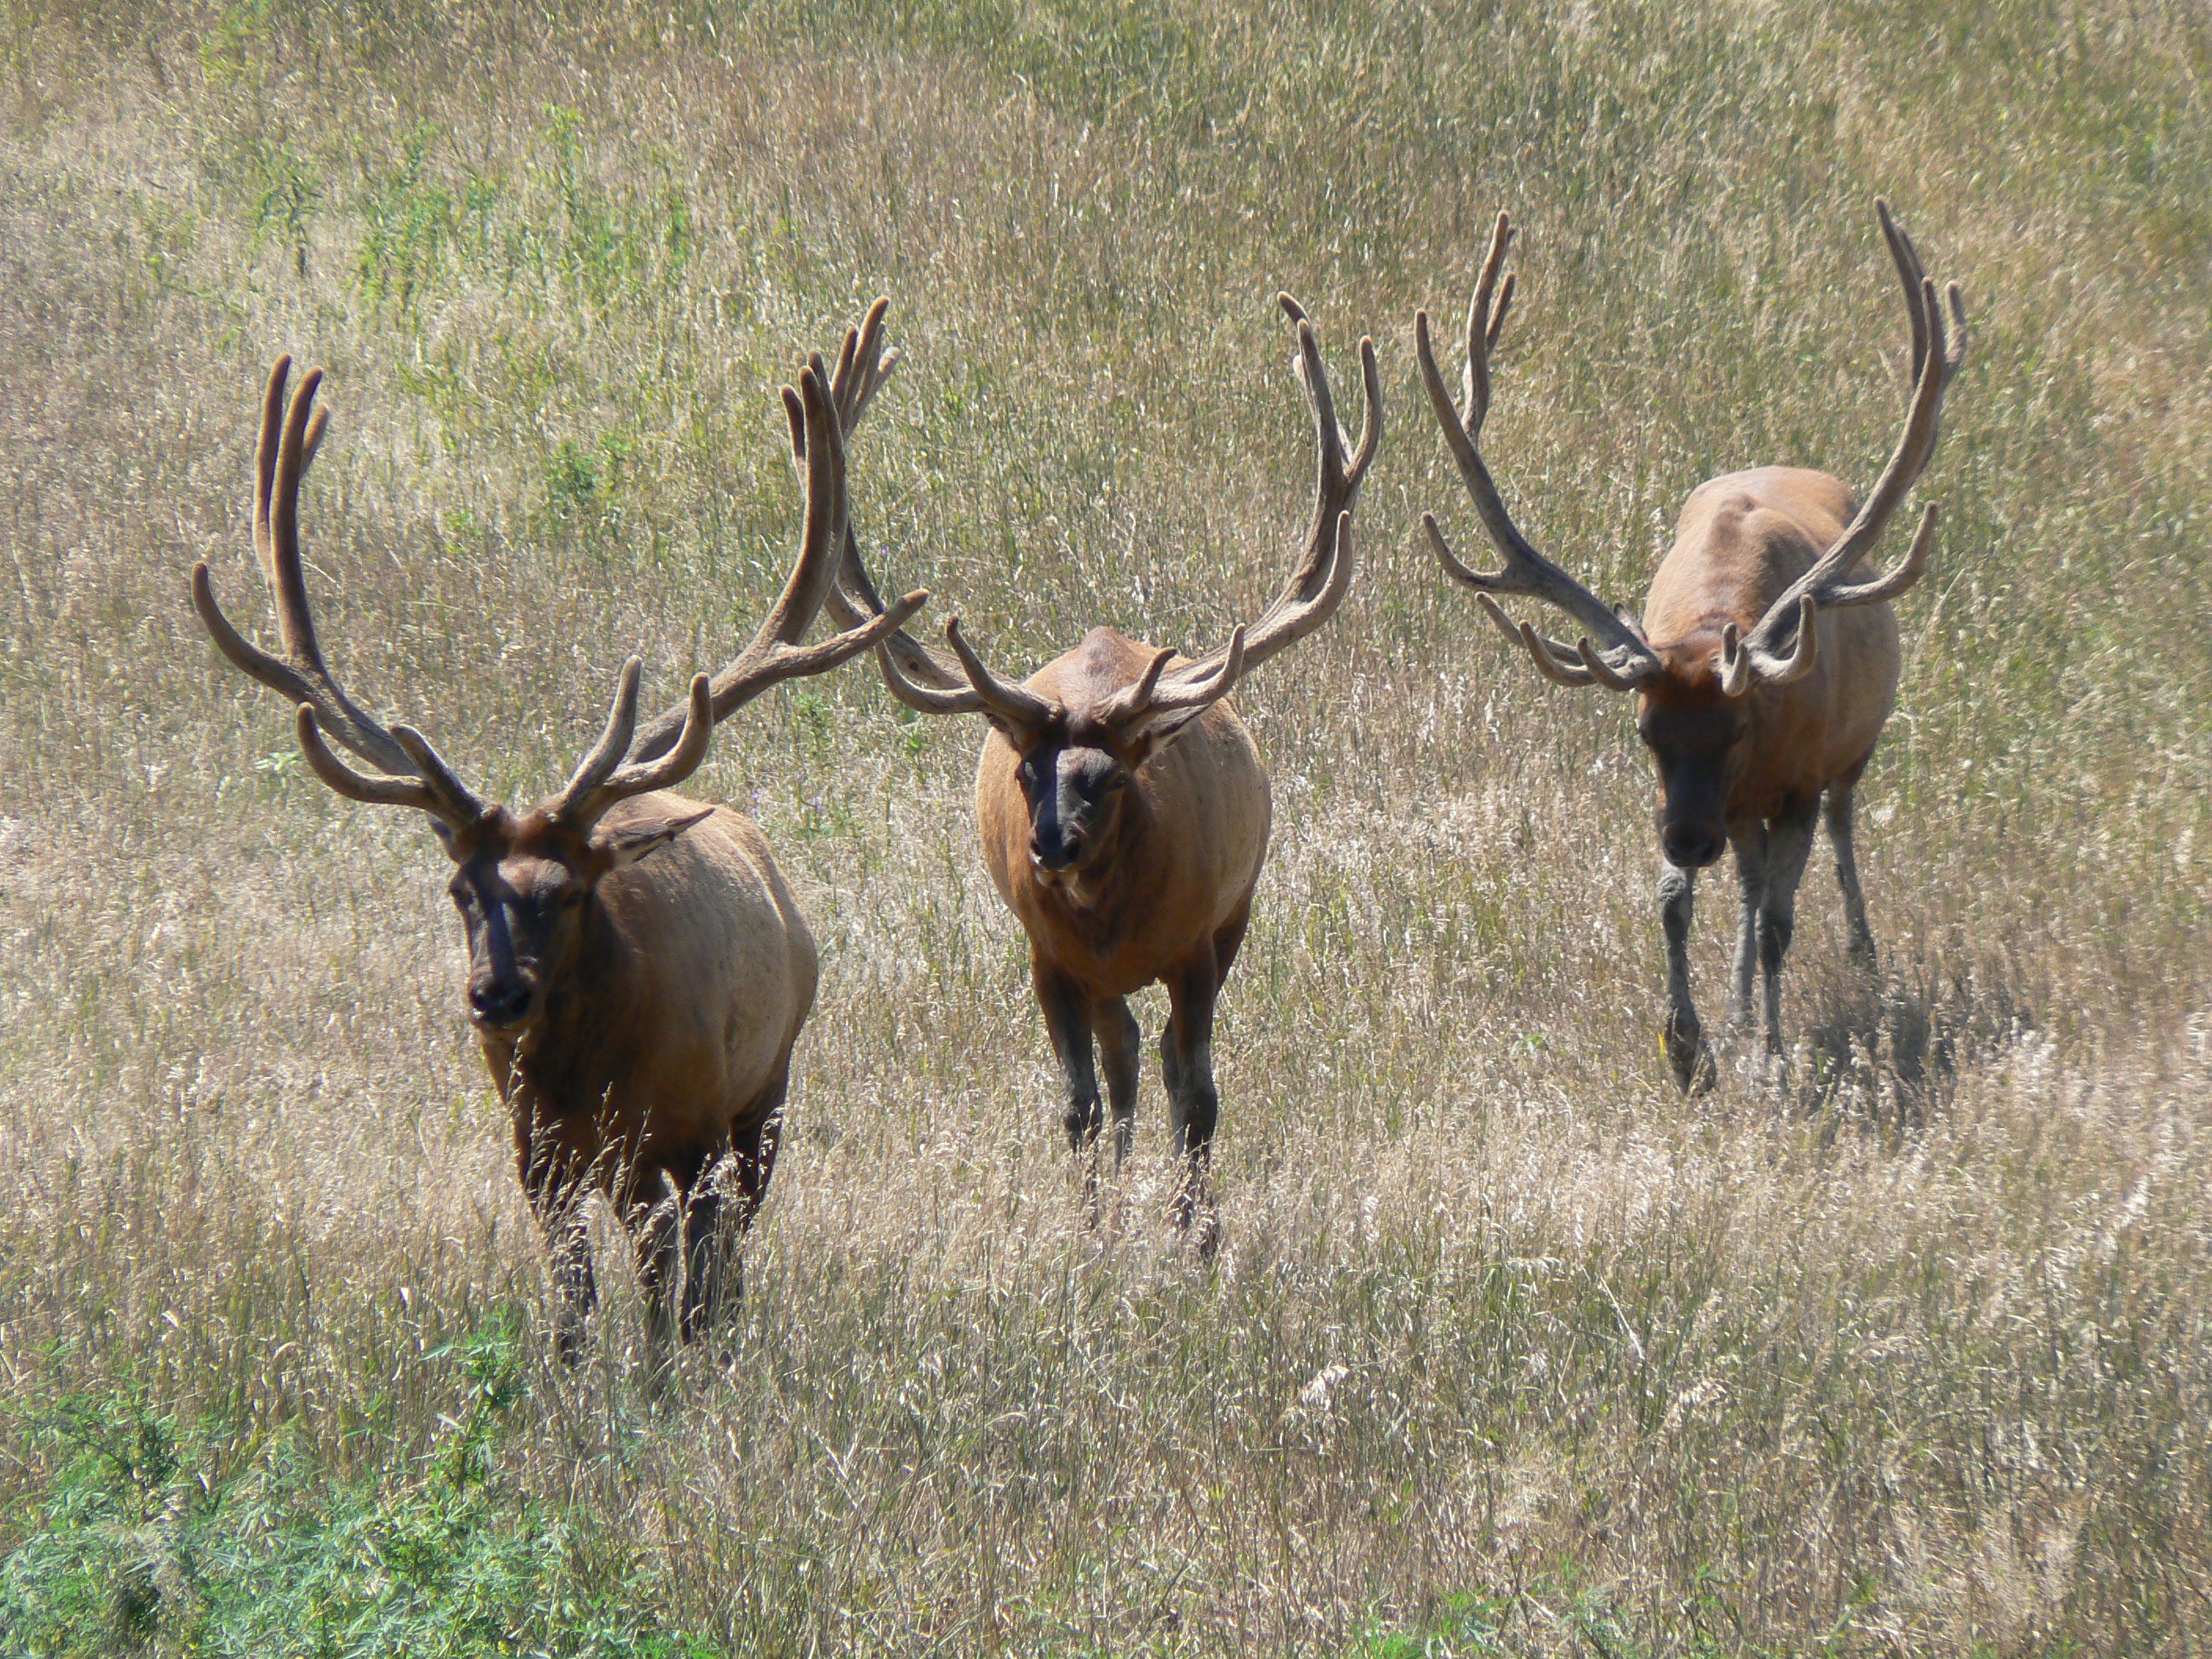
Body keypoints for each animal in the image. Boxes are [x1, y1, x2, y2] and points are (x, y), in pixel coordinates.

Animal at [192, 354, 924, 1367]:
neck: (588, 1068)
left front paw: (670, 1379)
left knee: (723, 1256)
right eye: (461, 889)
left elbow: (682, 1286)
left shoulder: (690, 1126)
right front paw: (583, 1384)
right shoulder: (538, 1153)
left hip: (766, 1091)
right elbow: (574, 1306)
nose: (497, 996)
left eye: (569, 892)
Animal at [798, 297, 1378, 1236]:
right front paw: (1089, 1232)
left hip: (1237, 912)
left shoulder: (1197, 943)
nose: (1050, 847)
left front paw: (1194, 1232)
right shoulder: (1048, 957)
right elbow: (1078, 1103)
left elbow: (1200, 1095)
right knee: (1122, 1057)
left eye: (1109, 780)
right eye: (1025, 774)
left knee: (1161, 1062)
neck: (1113, 917)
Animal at [1418, 201, 1965, 1092]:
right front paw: (1688, 1044)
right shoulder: (1705, 796)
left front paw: (1770, 1060)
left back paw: (1861, 957)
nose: (1684, 839)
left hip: (1852, 752)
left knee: (1838, 834)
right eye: (1646, 732)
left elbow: (1779, 923)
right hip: (1744, 814)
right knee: (1746, 877)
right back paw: (1739, 1004)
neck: (1717, 621)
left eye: (1738, 728)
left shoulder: (1796, 782)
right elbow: (1677, 904)